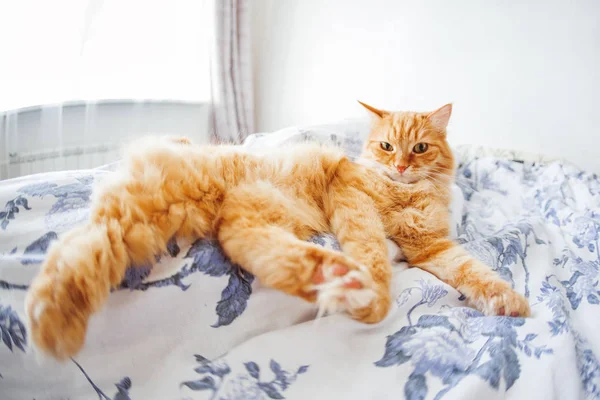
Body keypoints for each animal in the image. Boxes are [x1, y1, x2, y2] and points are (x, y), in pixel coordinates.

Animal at [24, 103, 528, 360]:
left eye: (419, 149)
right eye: (387, 146)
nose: (401, 165)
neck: (405, 194)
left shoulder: (430, 248)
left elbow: (475, 272)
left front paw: (510, 303)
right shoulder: (353, 196)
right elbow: (371, 249)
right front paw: (377, 291)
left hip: (242, 215)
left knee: (251, 247)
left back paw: (333, 278)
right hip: (174, 203)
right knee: (76, 247)